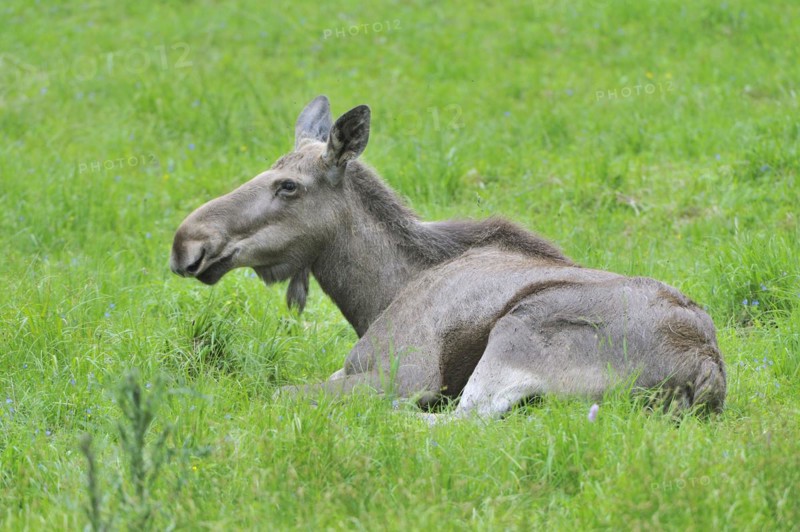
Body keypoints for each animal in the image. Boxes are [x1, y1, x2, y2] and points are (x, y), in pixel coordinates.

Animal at [170, 96, 726, 419]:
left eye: (288, 185)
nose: (186, 244)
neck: (376, 295)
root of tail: (706, 375)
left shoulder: (401, 368)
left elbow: (279, 394)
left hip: (518, 331)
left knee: (459, 421)